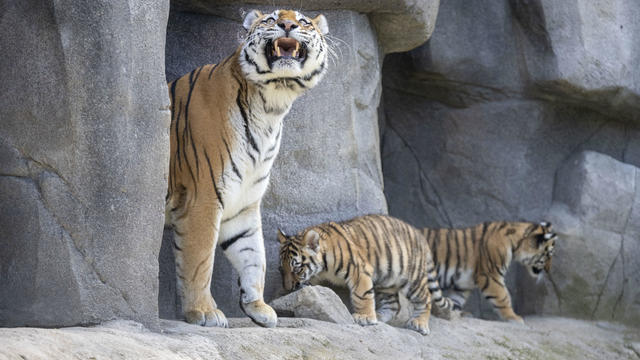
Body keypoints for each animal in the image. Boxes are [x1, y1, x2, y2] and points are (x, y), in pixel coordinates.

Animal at [165, 9, 330, 330]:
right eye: (271, 18)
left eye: (303, 21)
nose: (287, 24)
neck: (271, 106)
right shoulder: (202, 197)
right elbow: (199, 259)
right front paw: (203, 311)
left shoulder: (244, 202)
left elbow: (254, 255)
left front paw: (258, 307)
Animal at [278, 214, 452, 334]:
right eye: (282, 270)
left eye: (296, 269)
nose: (287, 288)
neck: (324, 266)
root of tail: (419, 234)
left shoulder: (359, 270)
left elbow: (362, 295)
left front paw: (364, 317)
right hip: (386, 280)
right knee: (394, 305)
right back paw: (380, 317)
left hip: (413, 279)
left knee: (426, 298)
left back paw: (419, 323)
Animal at [420, 221, 556, 322]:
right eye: (548, 255)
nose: (549, 270)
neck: (515, 245)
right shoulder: (490, 276)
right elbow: (503, 297)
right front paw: (514, 317)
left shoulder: (463, 284)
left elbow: (456, 300)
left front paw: (452, 313)